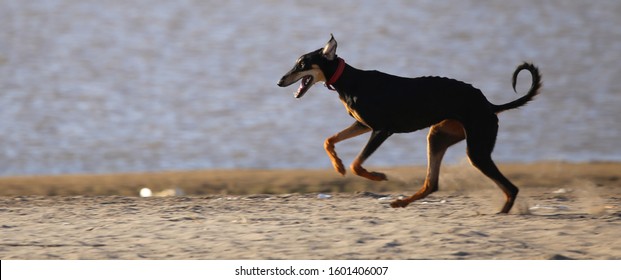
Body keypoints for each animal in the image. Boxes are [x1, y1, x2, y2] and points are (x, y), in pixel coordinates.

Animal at [278, 35, 540, 214]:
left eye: (301, 64)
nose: (279, 81)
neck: (351, 79)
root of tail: (489, 105)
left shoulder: (382, 130)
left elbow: (357, 164)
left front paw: (377, 176)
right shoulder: (362, 125)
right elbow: (329, 140)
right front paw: (338, 166)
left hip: (476, 150)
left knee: (511, 188)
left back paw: (502, 214)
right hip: (438, 137)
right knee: (431, 184)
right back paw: (401, 202)